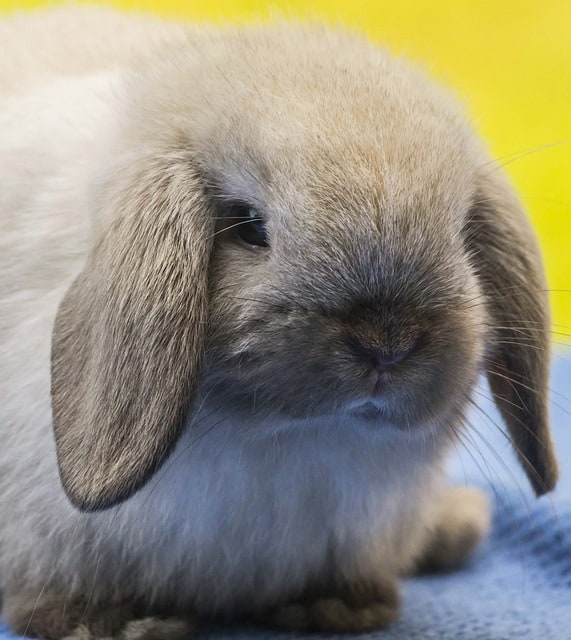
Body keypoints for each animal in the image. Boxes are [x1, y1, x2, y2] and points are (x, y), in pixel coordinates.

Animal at [0, 5, 560, 640]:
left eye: (463, 235)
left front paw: (339, 609)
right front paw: (111, 623)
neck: (285, 441)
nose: (386, 343)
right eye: (248, 226)